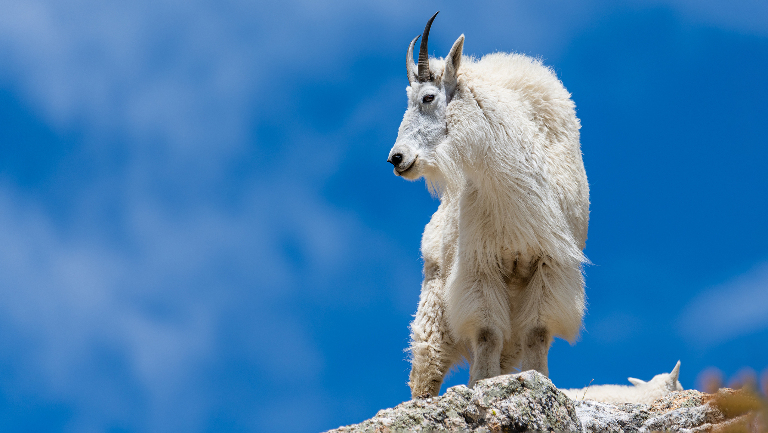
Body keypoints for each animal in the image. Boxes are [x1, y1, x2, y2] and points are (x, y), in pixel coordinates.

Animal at [388, 12, 590, 398]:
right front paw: (482, 385)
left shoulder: (549, 265)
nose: (396, 158)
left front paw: (539, 379)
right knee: (427, 366)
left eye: (428, 97)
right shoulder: (479, 265)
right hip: (435, 300)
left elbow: (537, 332)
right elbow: (486, 332)